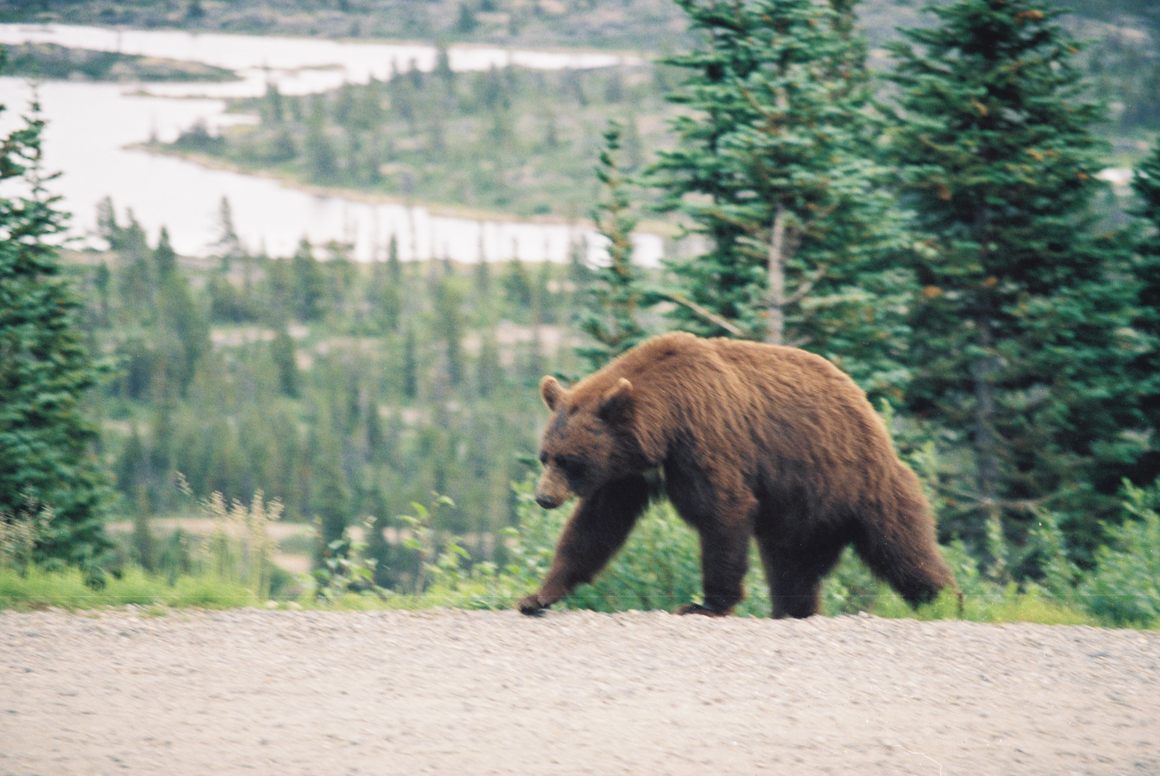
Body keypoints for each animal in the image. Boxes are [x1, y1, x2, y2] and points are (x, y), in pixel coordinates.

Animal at [516, 331, 955, 619]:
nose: (544, 497)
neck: (663, 425)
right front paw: (537, 596)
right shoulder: (629, 474)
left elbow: (722, 512)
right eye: (546, 457)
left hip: (856, 484)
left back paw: (945, 601)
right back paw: (793, 610)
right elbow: (594, 528)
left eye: (570, 461)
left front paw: (705, 603)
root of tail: (870, 412)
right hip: (798, 515)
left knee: (902, 548)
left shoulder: (705, 443)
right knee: (791, 570)